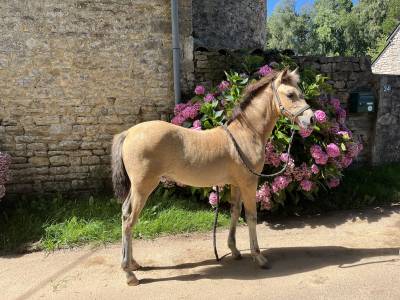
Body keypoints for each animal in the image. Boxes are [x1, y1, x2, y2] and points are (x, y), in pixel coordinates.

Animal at [111, 68, 314, 286]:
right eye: (291, 94)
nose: (311, 119)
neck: (246, 133)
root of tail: (128, 133)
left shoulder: (236, 184)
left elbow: (235, 212)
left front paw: (234, 250)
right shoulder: (249, 183)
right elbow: (251, 217)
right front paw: (258, 257)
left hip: (136, 188)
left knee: (125, 214)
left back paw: (133, 264)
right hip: (143, 187)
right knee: (130, 221)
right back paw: (129, 274)